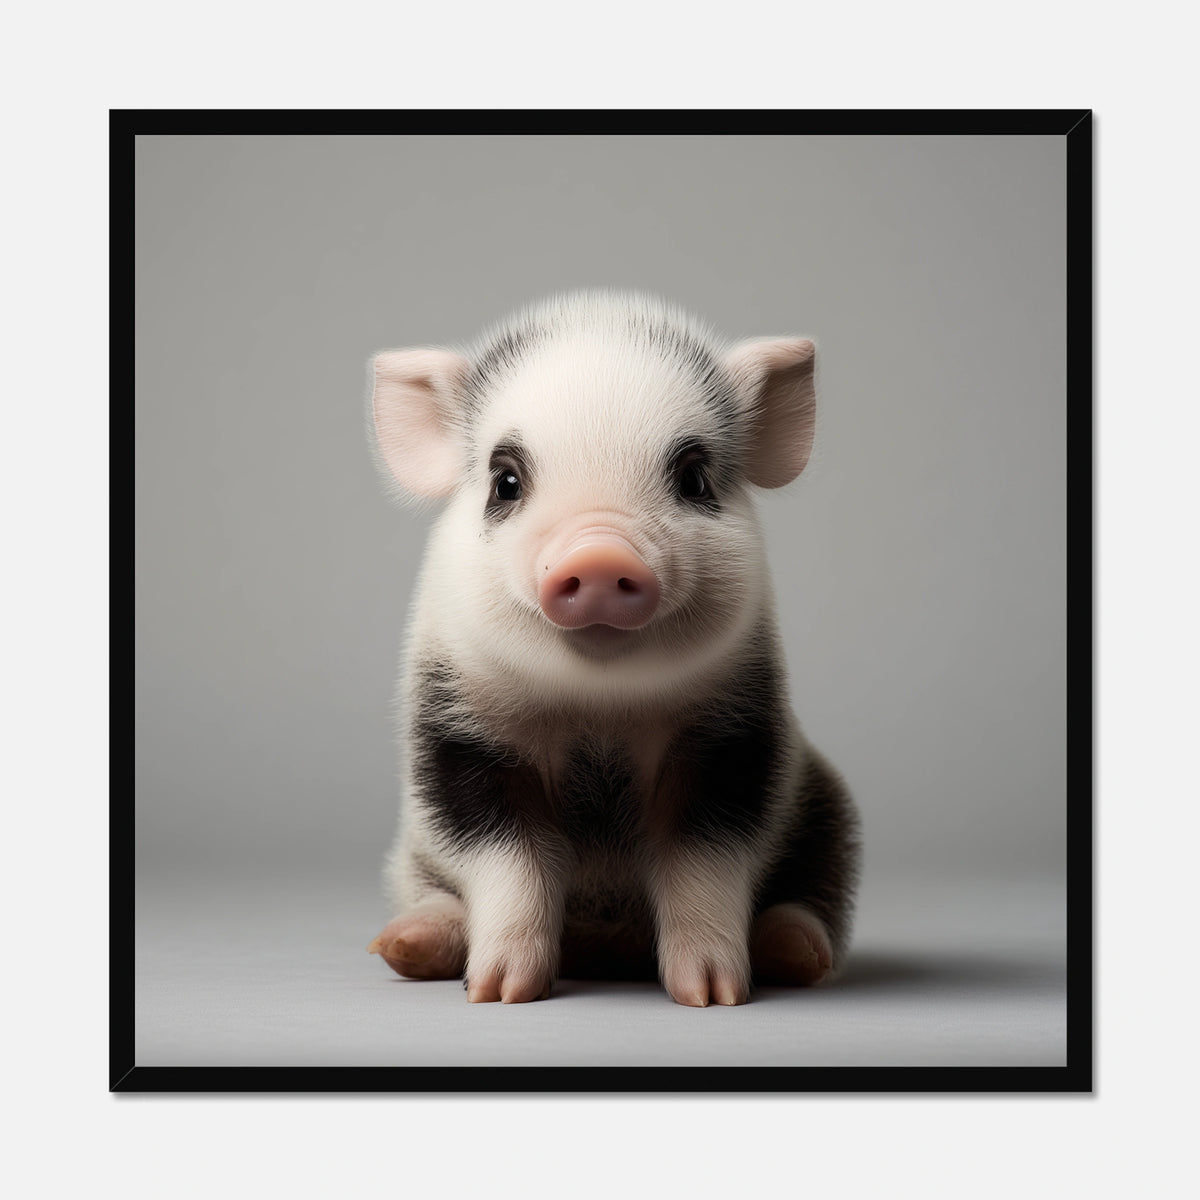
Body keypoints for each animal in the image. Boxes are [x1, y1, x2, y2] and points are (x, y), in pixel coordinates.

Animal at [365, 292, 860, 1006]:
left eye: (694, 478)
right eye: (505, 481)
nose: (599, 556)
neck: (598, 712)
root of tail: (606, 949)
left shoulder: (734, 735)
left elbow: (701, 858)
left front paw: (712, 995)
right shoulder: (459, 735)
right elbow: (507, 856)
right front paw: (499, 993)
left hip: (828, 811)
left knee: (813, 898)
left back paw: (791, 952)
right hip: (411, 854)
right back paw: (404, 946)